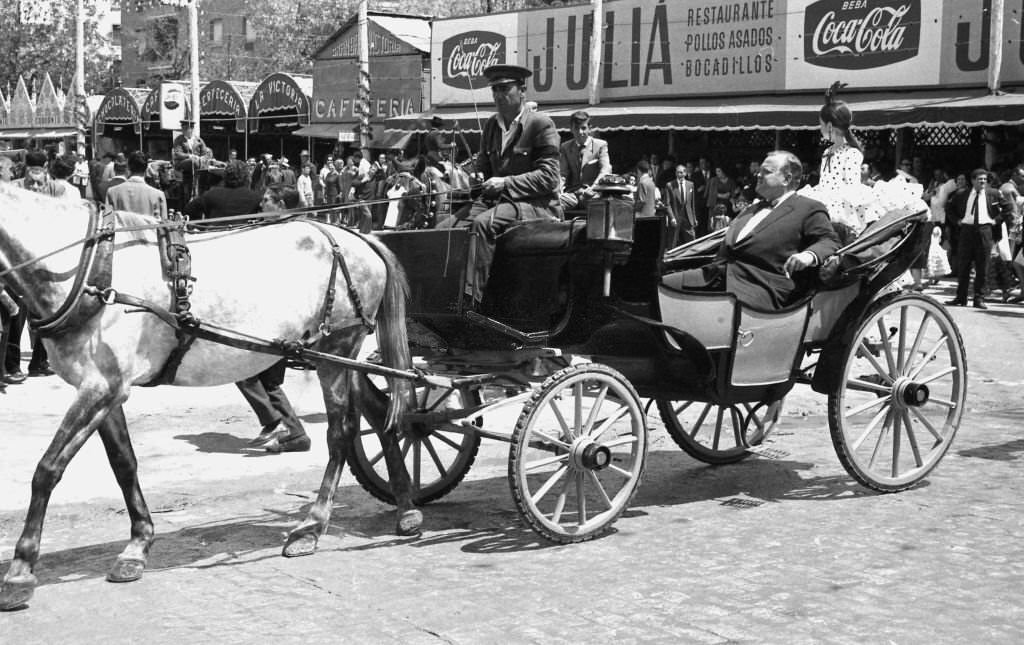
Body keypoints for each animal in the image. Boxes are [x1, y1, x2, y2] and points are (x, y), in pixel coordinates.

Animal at [0, 185, 419, 610]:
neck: (88, 269)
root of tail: (357, 237)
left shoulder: (102, 387)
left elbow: (47, 470)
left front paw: (20, 569)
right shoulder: (104, 391)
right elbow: (124, 464)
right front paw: (138, 544)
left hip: (338, 349)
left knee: (341, 433)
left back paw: (313, 526)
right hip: (335, 358)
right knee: (383, 416)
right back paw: (406, 507)